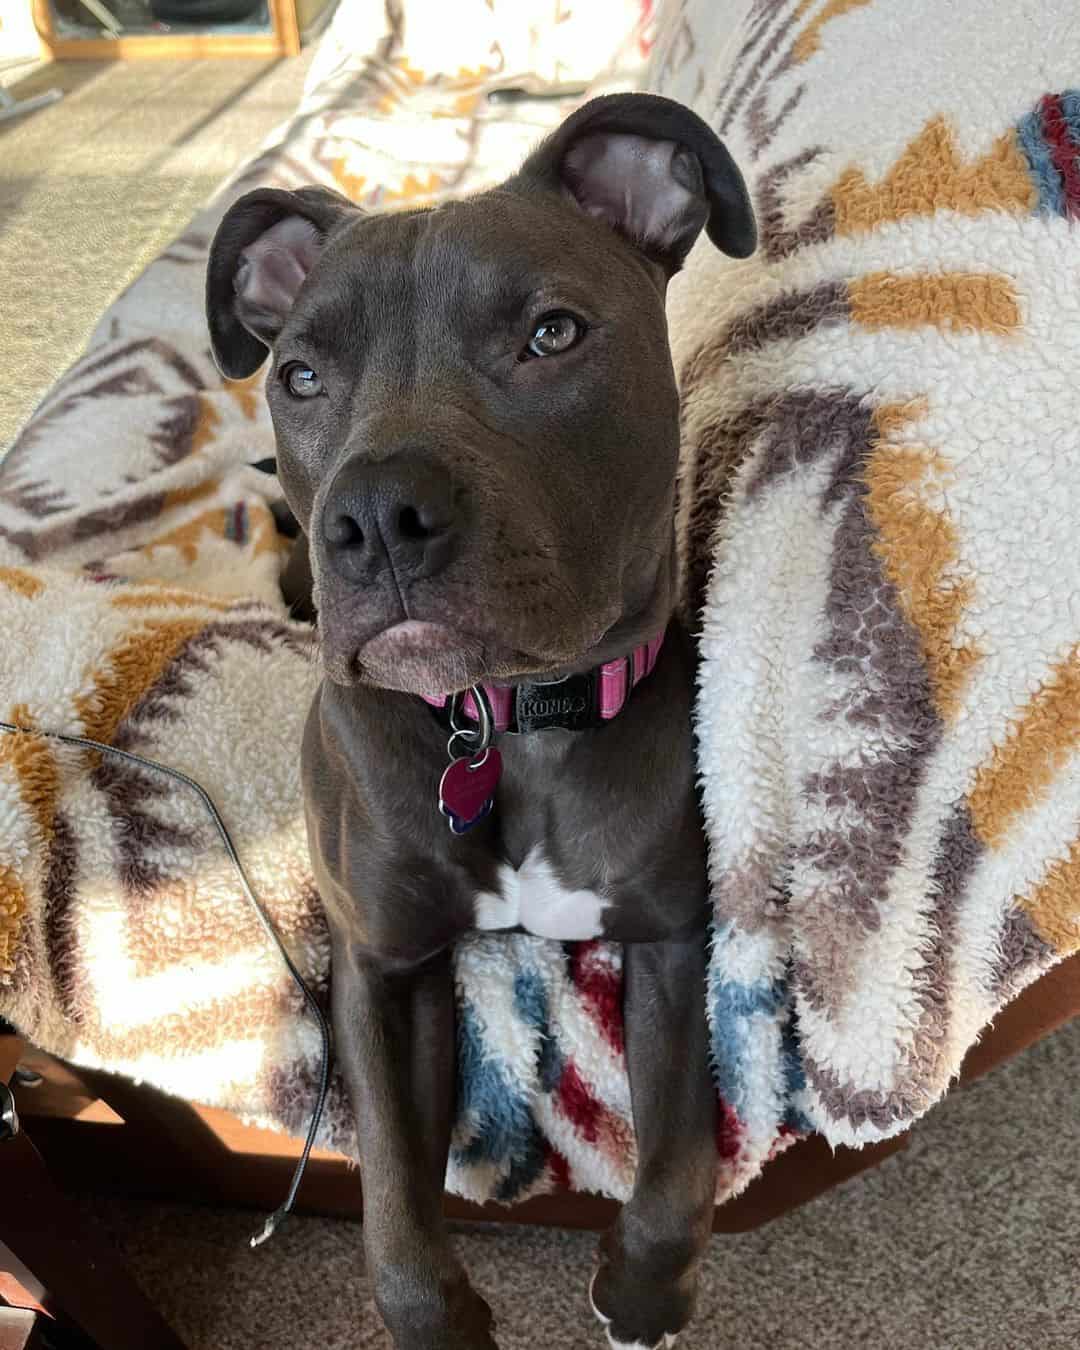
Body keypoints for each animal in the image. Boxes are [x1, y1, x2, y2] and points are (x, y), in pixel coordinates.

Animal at [206, 97, 756, 1350]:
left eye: (551, 334)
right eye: (300, 373)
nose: (374, 517)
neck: (505, 724)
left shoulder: (670, 940)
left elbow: (680, 1155)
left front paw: (645, 1289)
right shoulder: (381, 967)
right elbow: (394, 1202)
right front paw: (437, 1319)